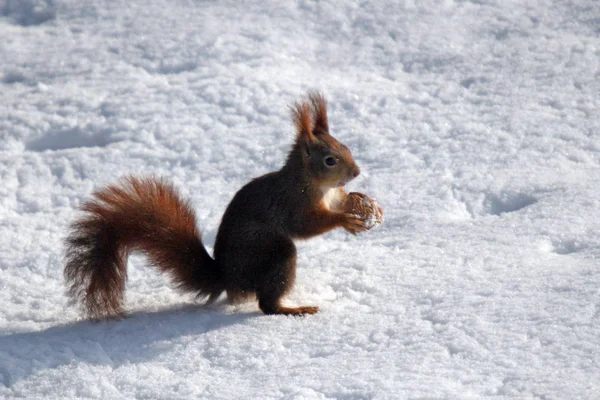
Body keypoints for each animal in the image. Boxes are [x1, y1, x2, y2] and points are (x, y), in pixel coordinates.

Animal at [63, 90, 378, 318]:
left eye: (347, 147)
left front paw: (359, 201)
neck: (317, 185)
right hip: (270, 253)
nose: (356, 172)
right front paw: (344, 219)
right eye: (330, 160)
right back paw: (291, 308)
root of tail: (228, 279)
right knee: (266, 302)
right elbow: (305, 225)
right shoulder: (291, 201)